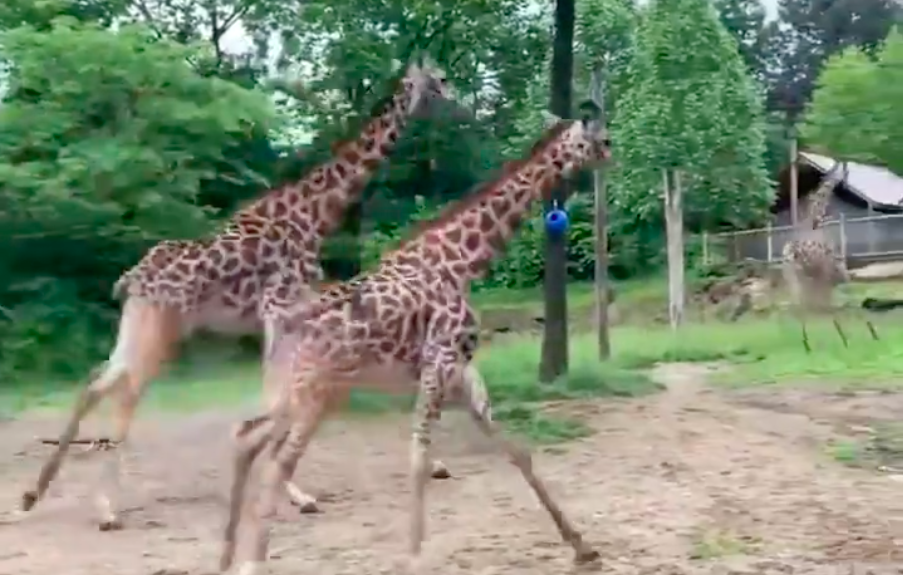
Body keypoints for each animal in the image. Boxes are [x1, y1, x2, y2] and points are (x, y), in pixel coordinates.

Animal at [19, 54, 460, 532]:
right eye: (439, 79)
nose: (458, 106)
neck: (317, 213)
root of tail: (130, 279)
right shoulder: (282, 308)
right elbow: (280, 389)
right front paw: (296, 493)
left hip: (137, 323)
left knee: (98, 380)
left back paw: (33, 494)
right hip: (160, 328)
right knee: (124, 390)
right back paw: (105, 510)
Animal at [220, 101, 612, 572]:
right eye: (603, 138)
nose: (613, 156)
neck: (460, 261)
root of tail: (277, 323)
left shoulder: (459, 372)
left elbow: (516, 450)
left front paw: (583, 547)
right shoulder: (438, 364)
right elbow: (419, 458)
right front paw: (414, 557)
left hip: (305, 394)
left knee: (248, 438)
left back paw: (228, 554)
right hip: (311, 393)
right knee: (275, 461)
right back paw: (253, 558)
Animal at [776, 160, 876, 354]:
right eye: (845, 171)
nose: (845, 178)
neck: (815, 220)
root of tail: (791, 251)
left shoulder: (822, 273)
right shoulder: (833, 267)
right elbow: (843, 300)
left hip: (792, 275)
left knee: (799, 306)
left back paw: (806, 342)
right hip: (815, 274)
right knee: (819, 305)